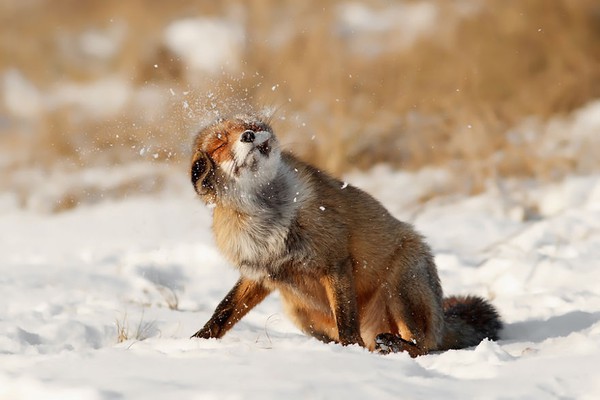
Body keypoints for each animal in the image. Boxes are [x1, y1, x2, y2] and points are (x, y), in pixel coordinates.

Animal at [189, 112, 502, 356]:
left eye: (250, 124)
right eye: (219, 144)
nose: (249, 135)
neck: (269, 218)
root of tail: (442, 320)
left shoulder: (335, 261)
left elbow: (346, 319)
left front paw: (352, 351)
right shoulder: (261, 272)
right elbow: (222, 312)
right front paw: (197, 342)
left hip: (400, 286)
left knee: (425, 345)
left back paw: (397, 345)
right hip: (299, 313)